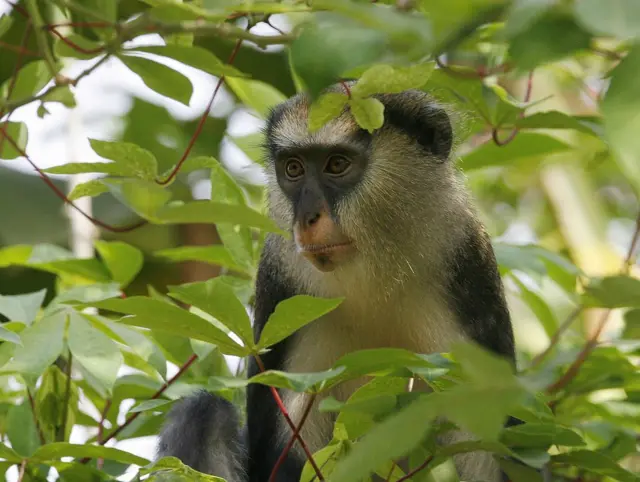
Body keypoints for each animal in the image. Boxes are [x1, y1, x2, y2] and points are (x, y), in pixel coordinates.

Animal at [157, 81, 516, 482]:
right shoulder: (282, 287)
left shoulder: (470, 270)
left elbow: (491, 450)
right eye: (293, 168)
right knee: (203, 414)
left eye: (337, 164)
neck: (376, 272)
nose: (307, 218)